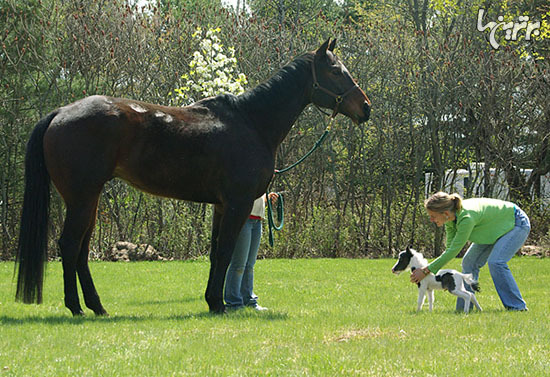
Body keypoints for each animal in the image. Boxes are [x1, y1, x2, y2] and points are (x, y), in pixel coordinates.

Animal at [15, 39, 374, 314]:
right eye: (336, 71)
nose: (366, 107)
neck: (251, 122)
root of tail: (61, 113)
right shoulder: (238, 203)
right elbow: (227, 251)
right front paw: (218, 304)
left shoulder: (221, 206)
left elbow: (216, 252)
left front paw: (212, 300)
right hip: (82, 198)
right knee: (69, 245)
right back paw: (76, 307)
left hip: (89, 200)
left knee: (81, 250)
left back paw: (96, 306)